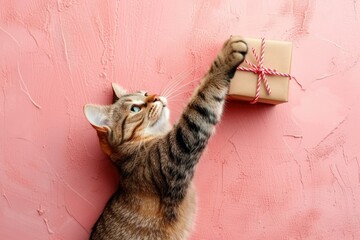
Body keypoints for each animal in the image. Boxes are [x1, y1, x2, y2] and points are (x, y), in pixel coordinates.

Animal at [84, 36, 248, 240]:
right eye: (135, 109)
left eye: (145, 93)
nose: (155, 96)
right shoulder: (181, 145)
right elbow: (203, 99)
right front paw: (227, 55)